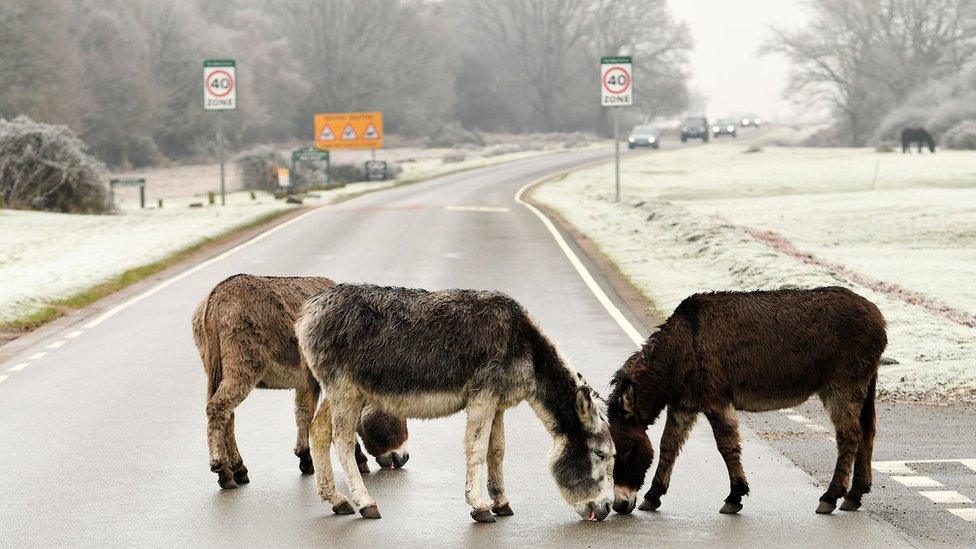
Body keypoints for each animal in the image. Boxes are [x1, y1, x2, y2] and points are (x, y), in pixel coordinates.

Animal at [193, 274, 410, 488]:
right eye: (396, 413)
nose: (404, 458)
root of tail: (217, 295)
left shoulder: (306, 383)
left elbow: (303, 414)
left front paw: (305, 459)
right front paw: (359, 459)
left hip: (217, 371)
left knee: (227, 416)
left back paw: (239, 469)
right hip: (244, 366)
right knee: (218, 409)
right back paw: (223, 471)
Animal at [294, 284, 612, 520]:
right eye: (601, 455)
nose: (606, 509)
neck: (526, 347)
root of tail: (309, 310)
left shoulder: (497, 404)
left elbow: (497, 451)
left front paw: (501, 502)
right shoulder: (482, 397)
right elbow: (477, 450)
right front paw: (480, 506)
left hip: (341, 391)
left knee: (319, 432)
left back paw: (337, 500)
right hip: (345, 391)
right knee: (342, 440)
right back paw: (365, 503)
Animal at [608, 288, 884, 516]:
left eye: (627, 451)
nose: (620, 506)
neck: (680, 348)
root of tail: (877, 315)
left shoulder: (715, 401)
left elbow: (727, 446)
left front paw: (735, 496)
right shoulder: (683, 406)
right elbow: (668, 446)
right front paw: (653, 495)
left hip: (842, 386)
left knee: (849, 436)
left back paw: (830, 497)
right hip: (860, 386)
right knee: (866, 433)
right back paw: (854, 495)